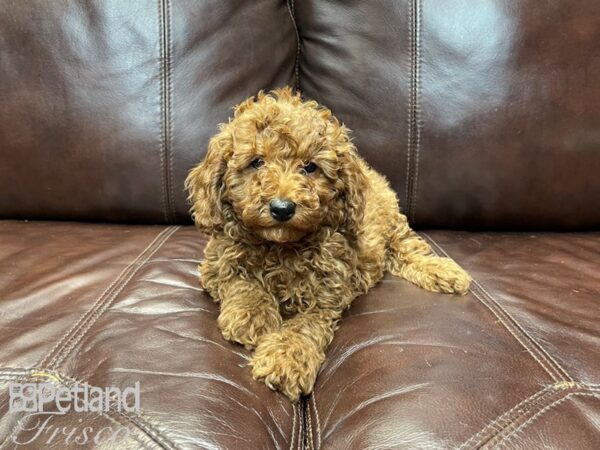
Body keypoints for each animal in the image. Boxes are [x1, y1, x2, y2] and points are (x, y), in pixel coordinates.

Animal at [185, 88, 472, 400]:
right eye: (257, 162)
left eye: (310, 167)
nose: (282, 208)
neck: (281, 245)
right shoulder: (217, 263)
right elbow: (241, 281)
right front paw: (253, 316)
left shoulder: (328, 290)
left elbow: (306, 325)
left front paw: (285, 359)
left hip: (393, 221)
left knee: (407, 248)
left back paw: (444, 272)